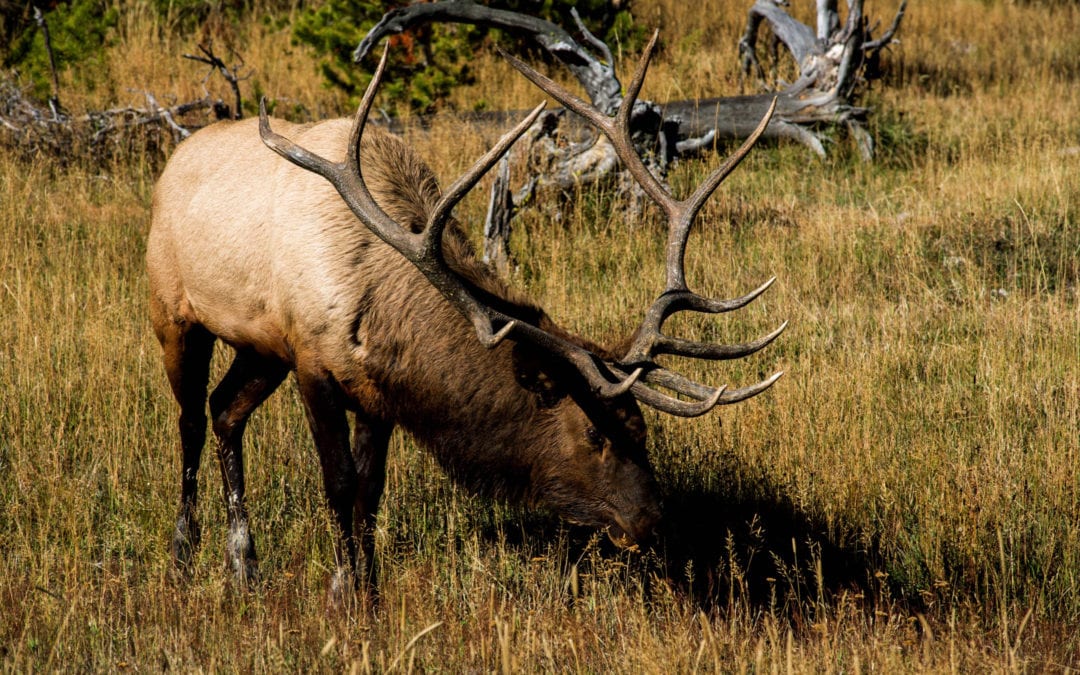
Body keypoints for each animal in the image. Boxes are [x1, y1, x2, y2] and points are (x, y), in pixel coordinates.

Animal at [146, 32, 784, 598]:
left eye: (641, 427)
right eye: (593, 434)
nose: (653, 521)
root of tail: (173, 159)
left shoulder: (374, 392)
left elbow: (370, 490)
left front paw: (367, 591)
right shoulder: (312, 363)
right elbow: (340, 482)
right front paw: (343, 595)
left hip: (259, 347)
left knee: (226, 410)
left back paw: (243, 564)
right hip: (174, 313)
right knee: (191, 421)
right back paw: (183, 555)